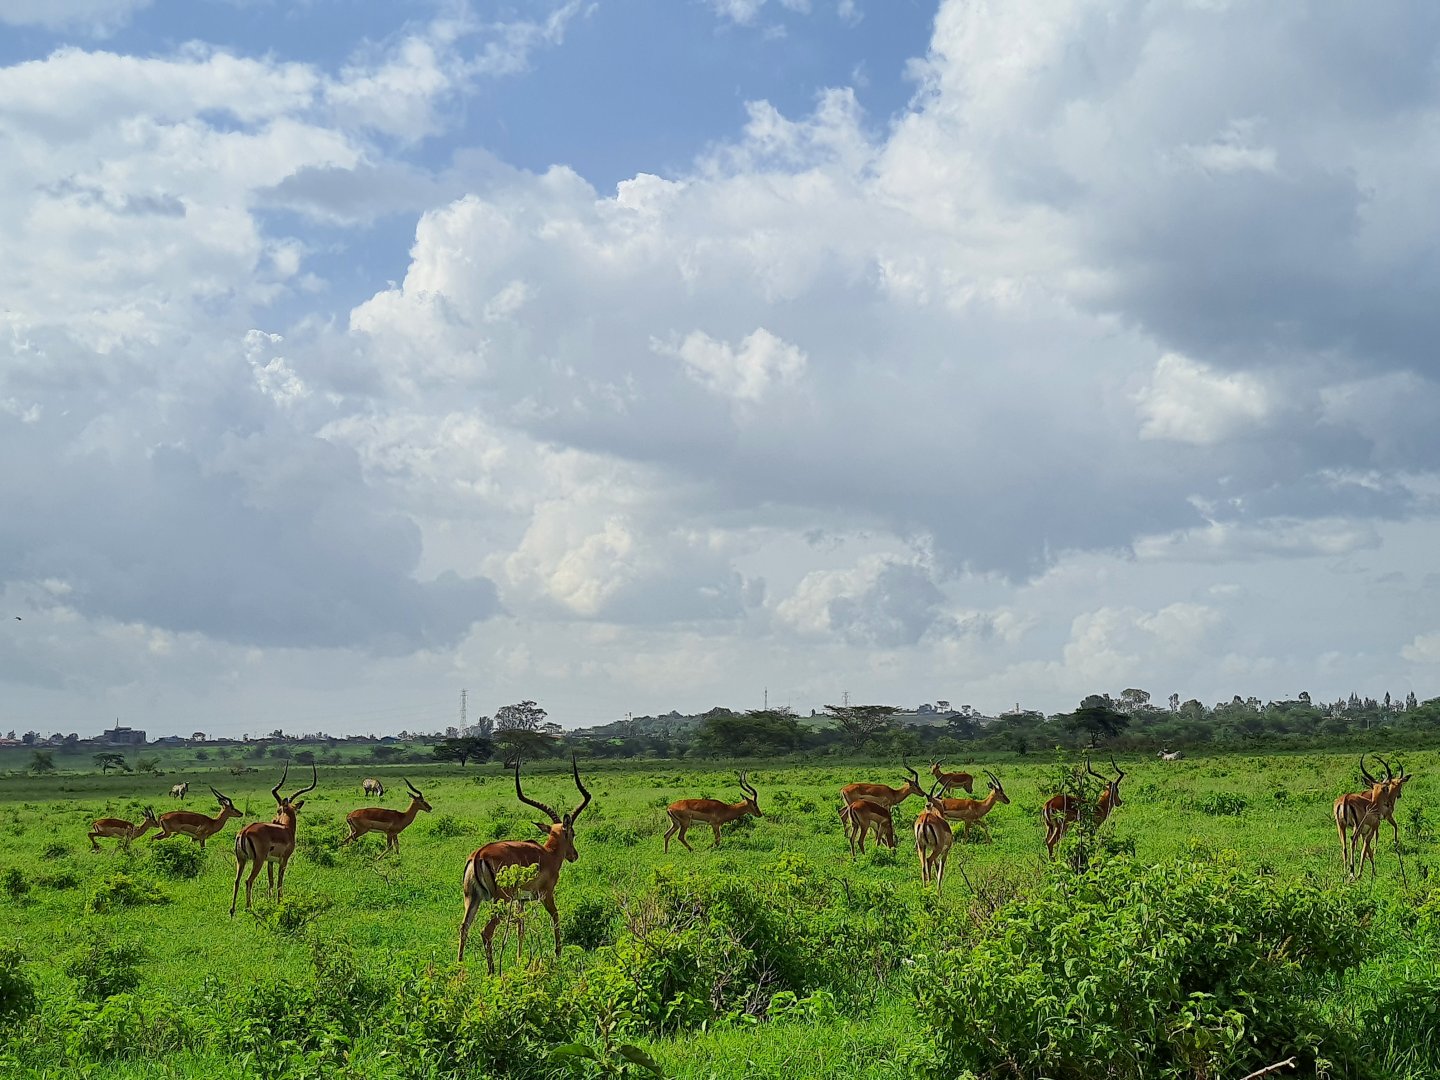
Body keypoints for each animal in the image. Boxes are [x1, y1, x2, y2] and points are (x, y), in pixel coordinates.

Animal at [230, 763, 316, 915]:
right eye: (278, 809)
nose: (275, 820)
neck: (287, 830)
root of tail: (244, 831)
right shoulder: (284, 860)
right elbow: (279, 882)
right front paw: (280, 903)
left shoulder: (269, 862)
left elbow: (270, 881)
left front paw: (271, 902)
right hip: (257, 861)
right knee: (248, 881)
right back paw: (249, 908)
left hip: (241, 860)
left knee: (236, 881)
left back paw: (232, 910)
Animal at [458, 757, 591, 973]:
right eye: (573, 833)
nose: (574, 855)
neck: (548, 855)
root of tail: (478, 854)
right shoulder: (546, 895)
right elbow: (556, 918)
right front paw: (558, 954)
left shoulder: (521, 901)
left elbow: (520, 927)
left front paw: (520, 961)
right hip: (500, 900)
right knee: (486, 931)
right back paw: (491, 971)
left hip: (472, 898)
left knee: (464, 927)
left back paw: (459, 969)